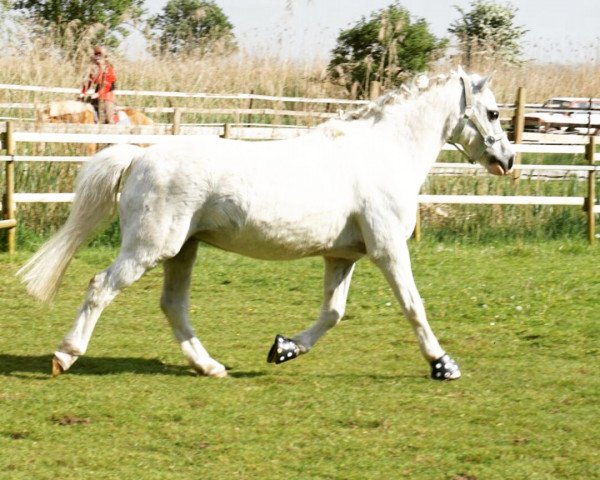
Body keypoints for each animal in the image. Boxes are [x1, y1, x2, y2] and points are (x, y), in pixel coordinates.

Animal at [19, 69, 516, 380]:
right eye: (493, 113)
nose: (508, 160)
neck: (384, 151)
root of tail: (140, 156)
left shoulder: (342, 256)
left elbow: (332, 313)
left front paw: (284, 348)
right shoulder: (389, 248)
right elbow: (414, 306)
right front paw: (442, 365)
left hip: (182, 250)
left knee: (173, 306)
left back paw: (210, 367)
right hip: (150, 248)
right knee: (100, 286)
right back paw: (65, 356)